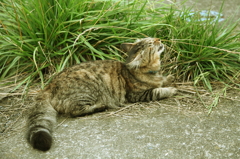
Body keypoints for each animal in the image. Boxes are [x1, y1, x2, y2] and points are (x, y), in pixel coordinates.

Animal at [26, 37, 177, 152]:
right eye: (151, 44)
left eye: (151, 38)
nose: (158, 39)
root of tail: (49, 85)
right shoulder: (137, 95)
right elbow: (157, 90)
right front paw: (171, 89)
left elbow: (163, 81)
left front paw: (170, 78)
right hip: (89, 88)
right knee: (75, 112)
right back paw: (100, 107)